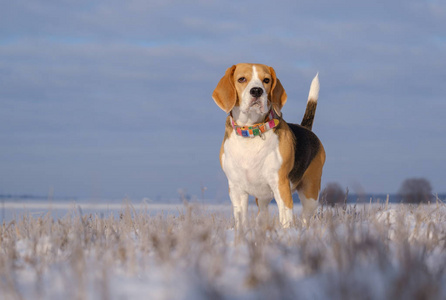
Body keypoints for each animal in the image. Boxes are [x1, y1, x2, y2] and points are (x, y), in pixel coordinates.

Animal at [213, 62, 324, 227]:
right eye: (241, 79)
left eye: (266, 80)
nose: (257, 91)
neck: (251, 132)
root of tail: (305, 128)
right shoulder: (236, 189)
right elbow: (241, 220)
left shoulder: (281, 185)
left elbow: (285, 219)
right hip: (263, 197)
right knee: (263, 214)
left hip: (310, 193)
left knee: (306, 216)